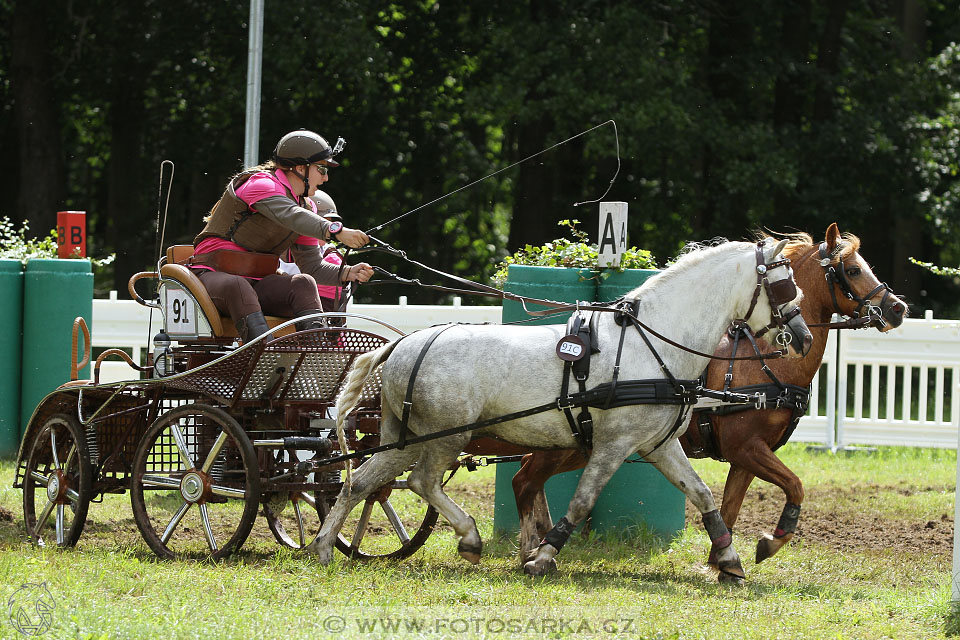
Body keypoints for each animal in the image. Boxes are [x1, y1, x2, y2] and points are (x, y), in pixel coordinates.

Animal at [308, 238, 808, 584]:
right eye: (784, 284)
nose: (800, 338)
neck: (652, 342)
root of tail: (403, 343)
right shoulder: (613, 445)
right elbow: (583, 500)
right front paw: (545, 556)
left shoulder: (658, 445)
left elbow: (702, 494)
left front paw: (730, 559)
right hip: (447, 436)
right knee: (421, 482)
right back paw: (469, 537)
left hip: (404, 437)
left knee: (361, 482)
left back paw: (323, 548)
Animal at [510, 224, 908, 564]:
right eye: (852, 270)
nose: (898, 308)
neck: (759, 361)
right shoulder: (746, 448)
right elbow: (795, 486)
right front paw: (770, 541)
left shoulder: (746, 456)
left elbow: (729, 508)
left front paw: (721, 560)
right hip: (565, 443)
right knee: (525, 479)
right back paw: (536, 546)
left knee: (526, 477)